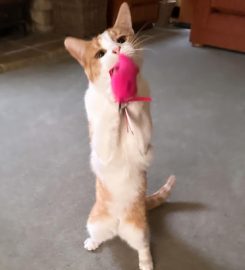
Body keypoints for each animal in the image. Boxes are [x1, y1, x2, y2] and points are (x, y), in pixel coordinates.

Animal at [64, 2, 176, 270]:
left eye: (122, 39)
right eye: (100, 54)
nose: (117, 49)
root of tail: (117, 227)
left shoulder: (145, 149)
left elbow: (139, 123)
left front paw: (129, 102)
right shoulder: (101, 150)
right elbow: (108, 128)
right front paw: (115, 104)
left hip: (140, 230)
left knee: (143, 247)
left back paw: (146, 264)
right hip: (94, 221)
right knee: (98, 235)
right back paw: (92, 243)